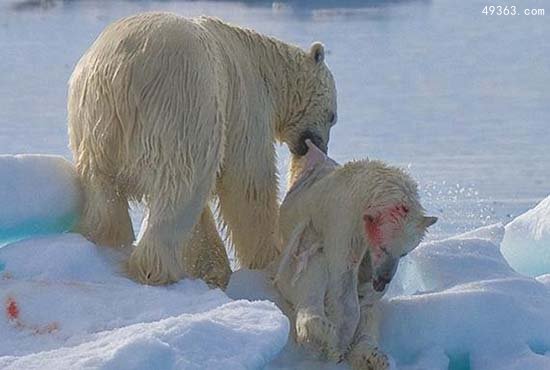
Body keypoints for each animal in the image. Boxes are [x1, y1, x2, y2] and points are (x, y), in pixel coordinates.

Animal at [67, 10, 338, 284]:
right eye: (332, 116)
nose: (318, 147)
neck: (265, 64)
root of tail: (119, 72)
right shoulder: (246, 102)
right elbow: (248, 182)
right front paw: (268, 258)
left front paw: (212, 267)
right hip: (181, 104)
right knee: (180, 187)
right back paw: (158, 267)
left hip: (92, 121)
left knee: (102, 189)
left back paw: (105, 241)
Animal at [276, 141, 440, 368]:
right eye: (383, 247)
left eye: (404, 253)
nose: (383, 280)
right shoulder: (343, 219)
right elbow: (343, 278)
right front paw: (336, 349)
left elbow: (368, 297)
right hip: (292, 263)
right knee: (312, 272)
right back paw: (322, 331)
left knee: (370, 313)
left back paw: (372, 356)